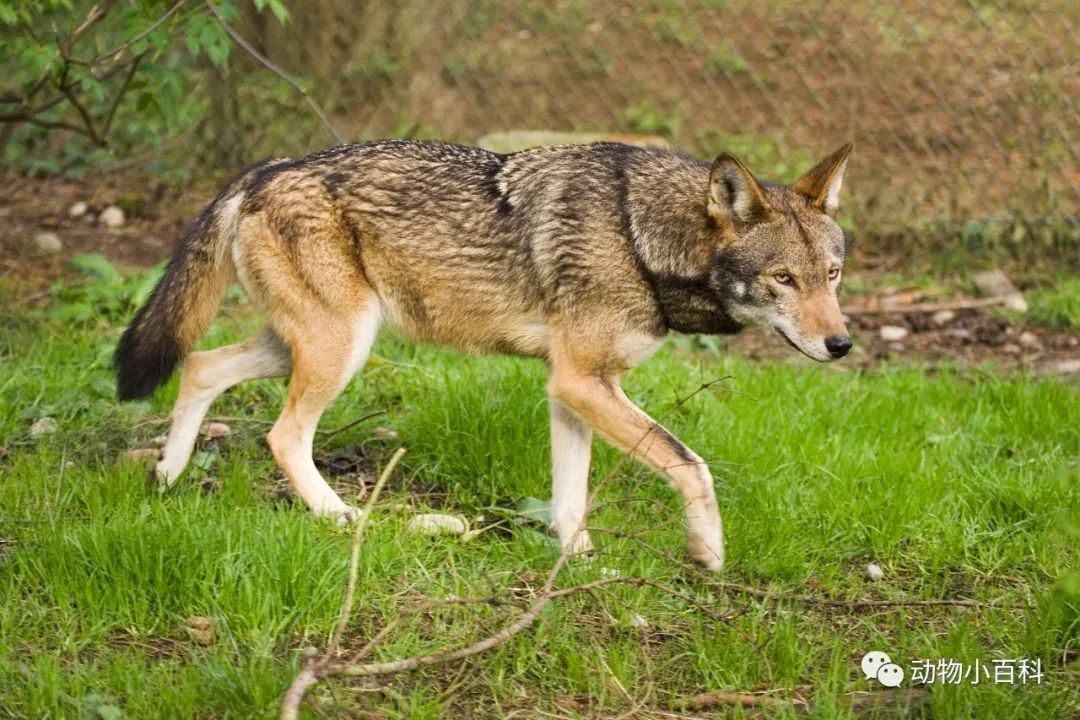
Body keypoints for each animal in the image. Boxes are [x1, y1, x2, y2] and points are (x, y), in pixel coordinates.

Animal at [116, 138, 851, 569]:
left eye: (832, 275)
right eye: (784, 279)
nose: (841, 344)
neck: (639, 236)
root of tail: (263, 168)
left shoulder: (572, 388)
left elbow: (569, 500)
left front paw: (577, 565)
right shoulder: (581, 382)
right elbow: (690, 464)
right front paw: (707, 552)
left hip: (309, 345)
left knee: (199, 366)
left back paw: (168, 475)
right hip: (339, 350)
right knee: (281, 434)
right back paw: (342, 518)